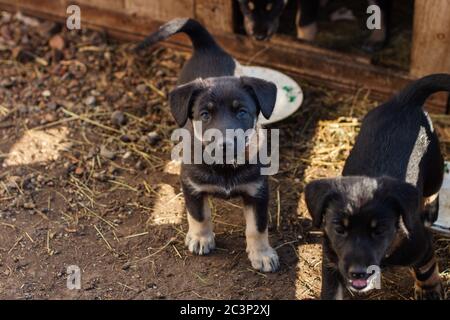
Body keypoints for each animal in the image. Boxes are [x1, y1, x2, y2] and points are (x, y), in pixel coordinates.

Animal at [135, 18, 280, 272]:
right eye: (205, 115)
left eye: (242, 112)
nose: (225, 144)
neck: (224, 167)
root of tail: (207, 46)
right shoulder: (192, 186)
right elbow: (199, 215)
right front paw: (201, 238)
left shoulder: (258, 191)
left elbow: (257, 227)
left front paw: (261, 254)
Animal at [304, 74, 450, 298]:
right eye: (339, 229)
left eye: (379, 231)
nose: (358, 273)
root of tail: (404, 101)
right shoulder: (331, 262)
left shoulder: (420, 246)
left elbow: (426, 269)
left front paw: (429, 291)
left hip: (434, 167)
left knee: (433, 191)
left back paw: (429, 210)